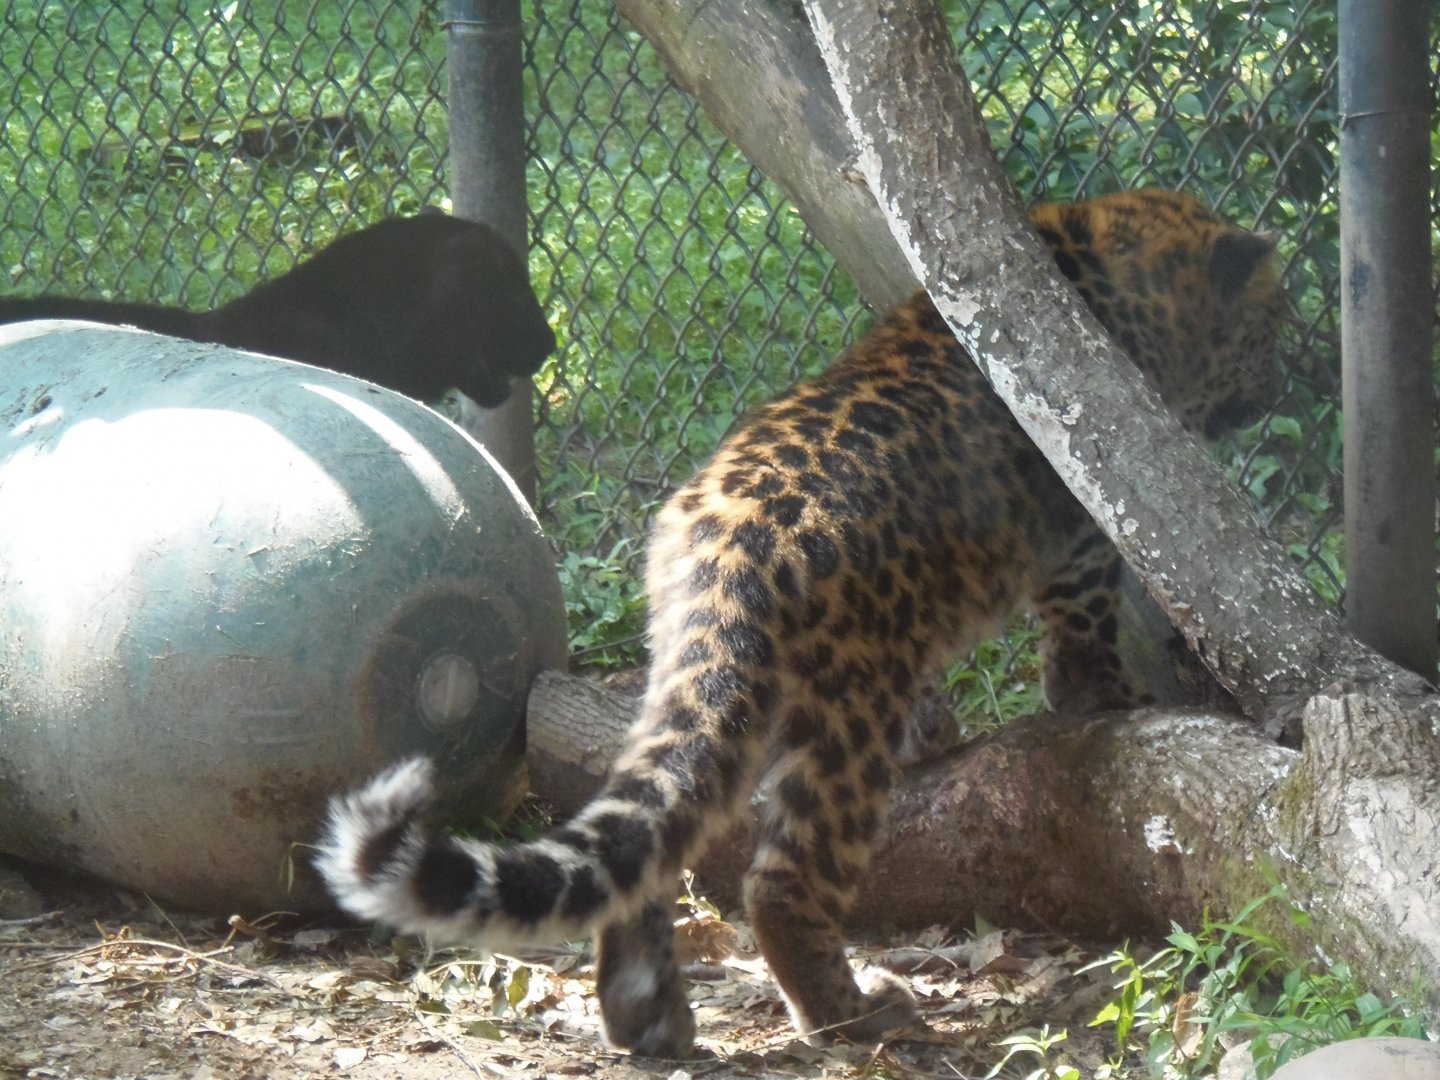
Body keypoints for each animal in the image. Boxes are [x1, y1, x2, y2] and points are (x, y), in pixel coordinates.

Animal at [317, 189, 1283, 1057]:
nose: (1284, 383)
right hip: (848, 701)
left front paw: (940, 726)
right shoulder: (1079, 527)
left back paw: (647, 1017)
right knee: (781, 882)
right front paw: (1102, 698)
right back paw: (851, 1017)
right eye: (1270, 331)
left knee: (657, 831)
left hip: (703, 681)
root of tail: (725, 539)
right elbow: (1083, 626)